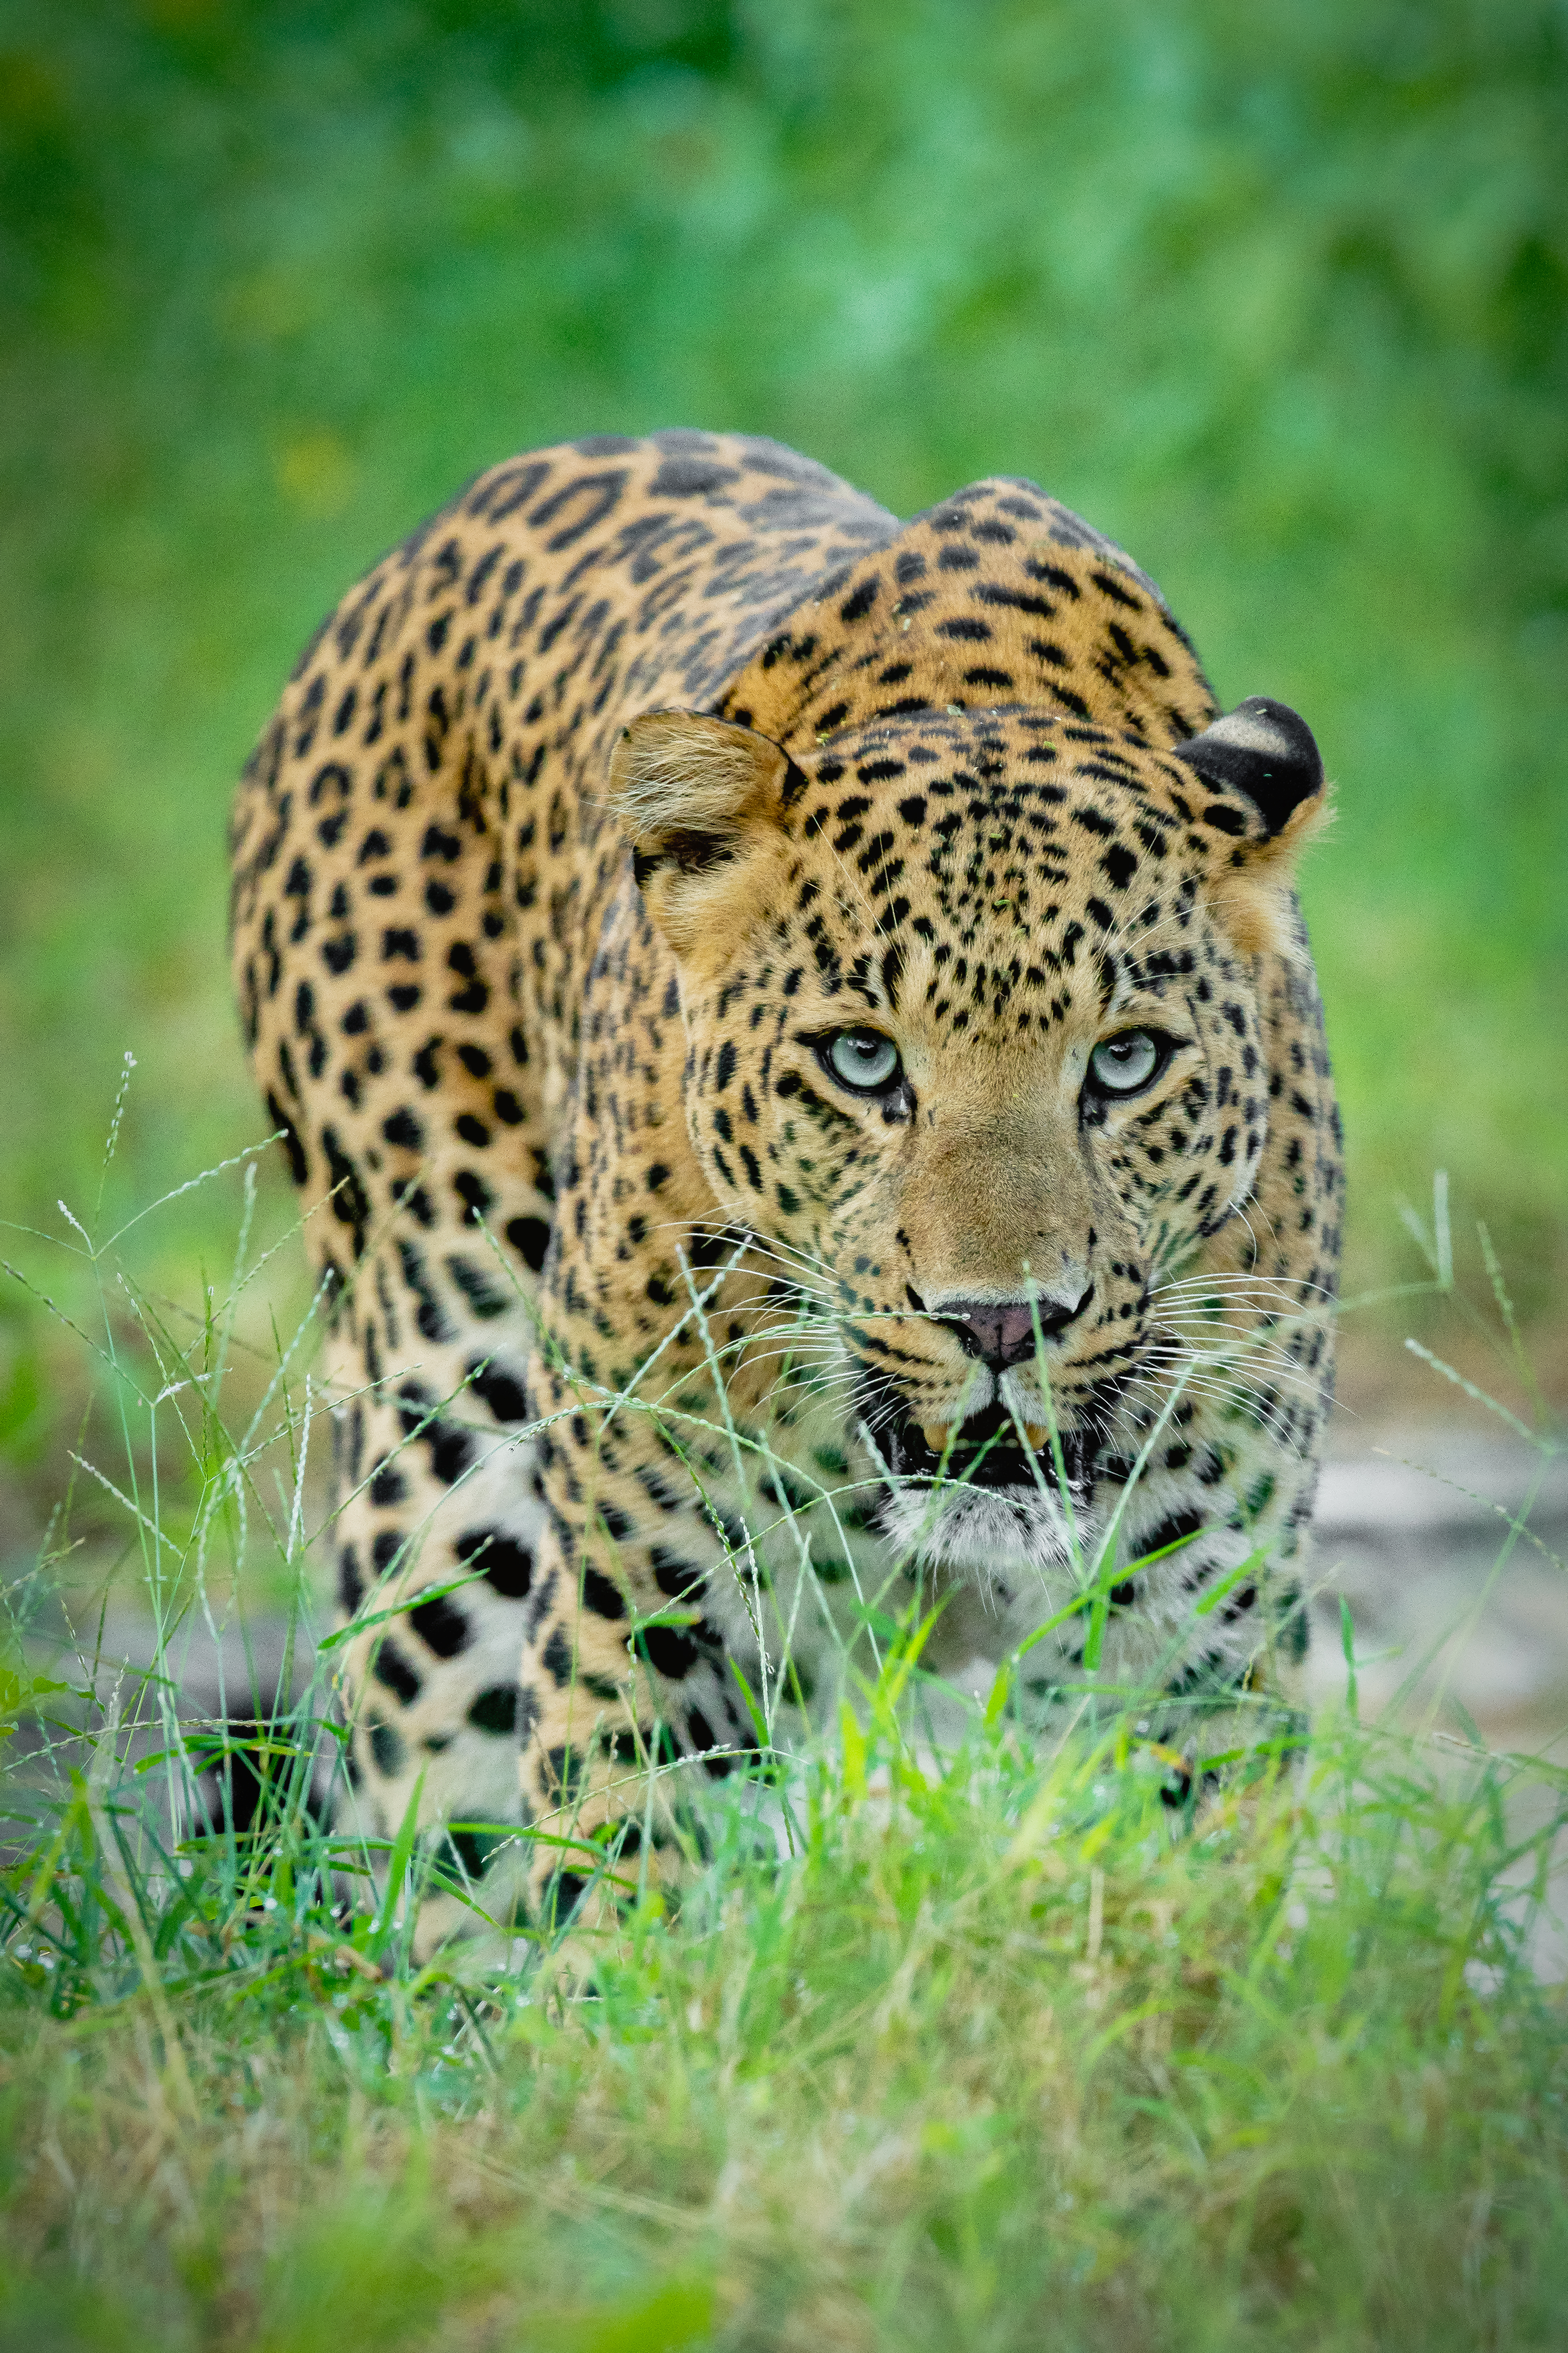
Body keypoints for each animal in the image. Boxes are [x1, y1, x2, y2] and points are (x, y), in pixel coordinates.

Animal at [230, 428, 1341, 1945]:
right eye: (864, 1059)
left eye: (1124, 1061)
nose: (1001, 1322)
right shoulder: (652, 1605)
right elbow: (623, 1897)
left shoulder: (1195, 1641)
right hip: (443, 1441)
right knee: (436, 1832)